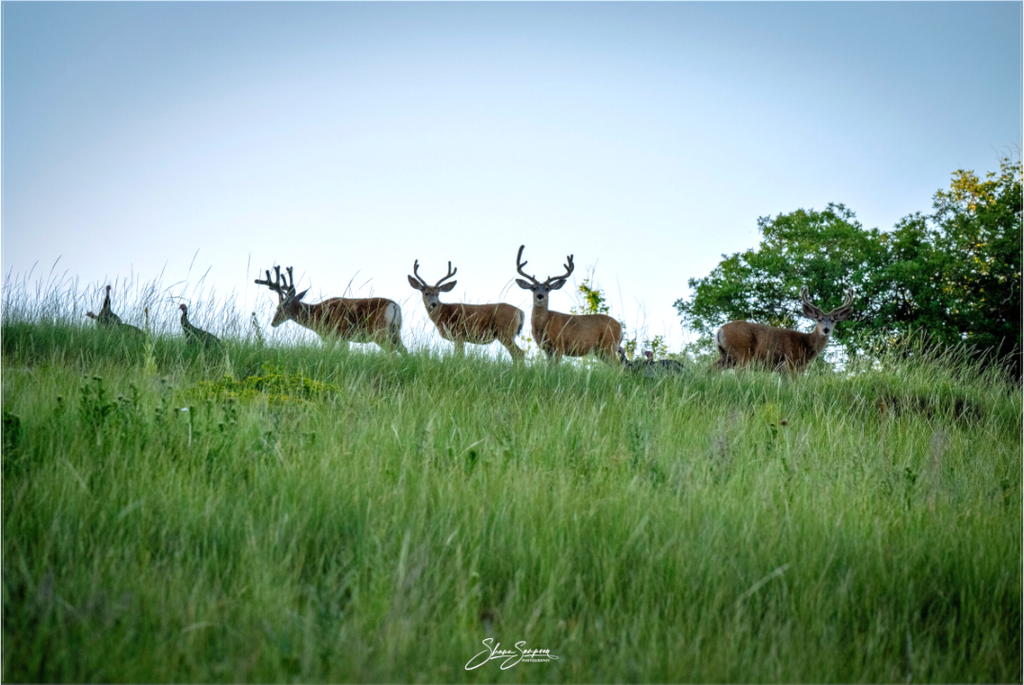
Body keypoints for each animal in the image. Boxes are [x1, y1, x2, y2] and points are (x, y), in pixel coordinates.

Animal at [254, 265, 406, 352]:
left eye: (281, 306)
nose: (273, 322)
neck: (316, 314)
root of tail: (394, 306)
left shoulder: (331, 335)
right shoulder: (343, 338)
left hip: (380, 331)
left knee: (391, 351)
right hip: (395, 331)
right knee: (404, 351)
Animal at [714, 286, 854, 373]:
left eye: (833, 320)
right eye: (818, 319)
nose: (826, 330)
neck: (806, 345)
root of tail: (720, 330)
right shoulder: (791, 364)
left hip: (726, 356)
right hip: (742, 354)